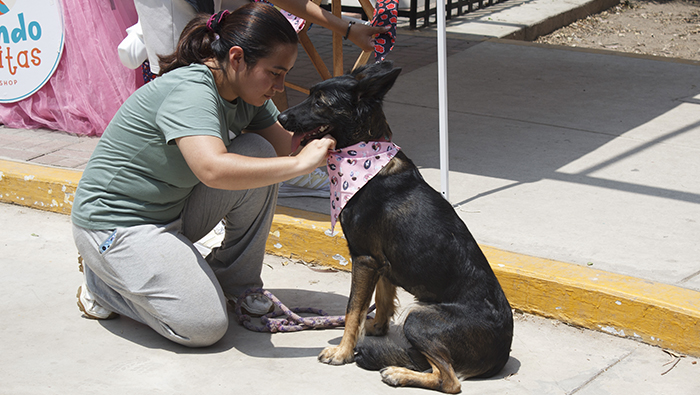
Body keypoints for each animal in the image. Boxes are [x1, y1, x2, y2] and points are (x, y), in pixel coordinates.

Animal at [278, 61, 516, 392]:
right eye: (310, 94)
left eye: (320, 102)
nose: (280, 118)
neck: (363, 158)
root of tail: (502, 353)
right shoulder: (381, 263)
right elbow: (381, 297)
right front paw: (376, 327)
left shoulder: (364, 258)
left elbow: (352, 309)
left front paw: (342, 352)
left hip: (418, 316)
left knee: (450, 380)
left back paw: (399, 373)